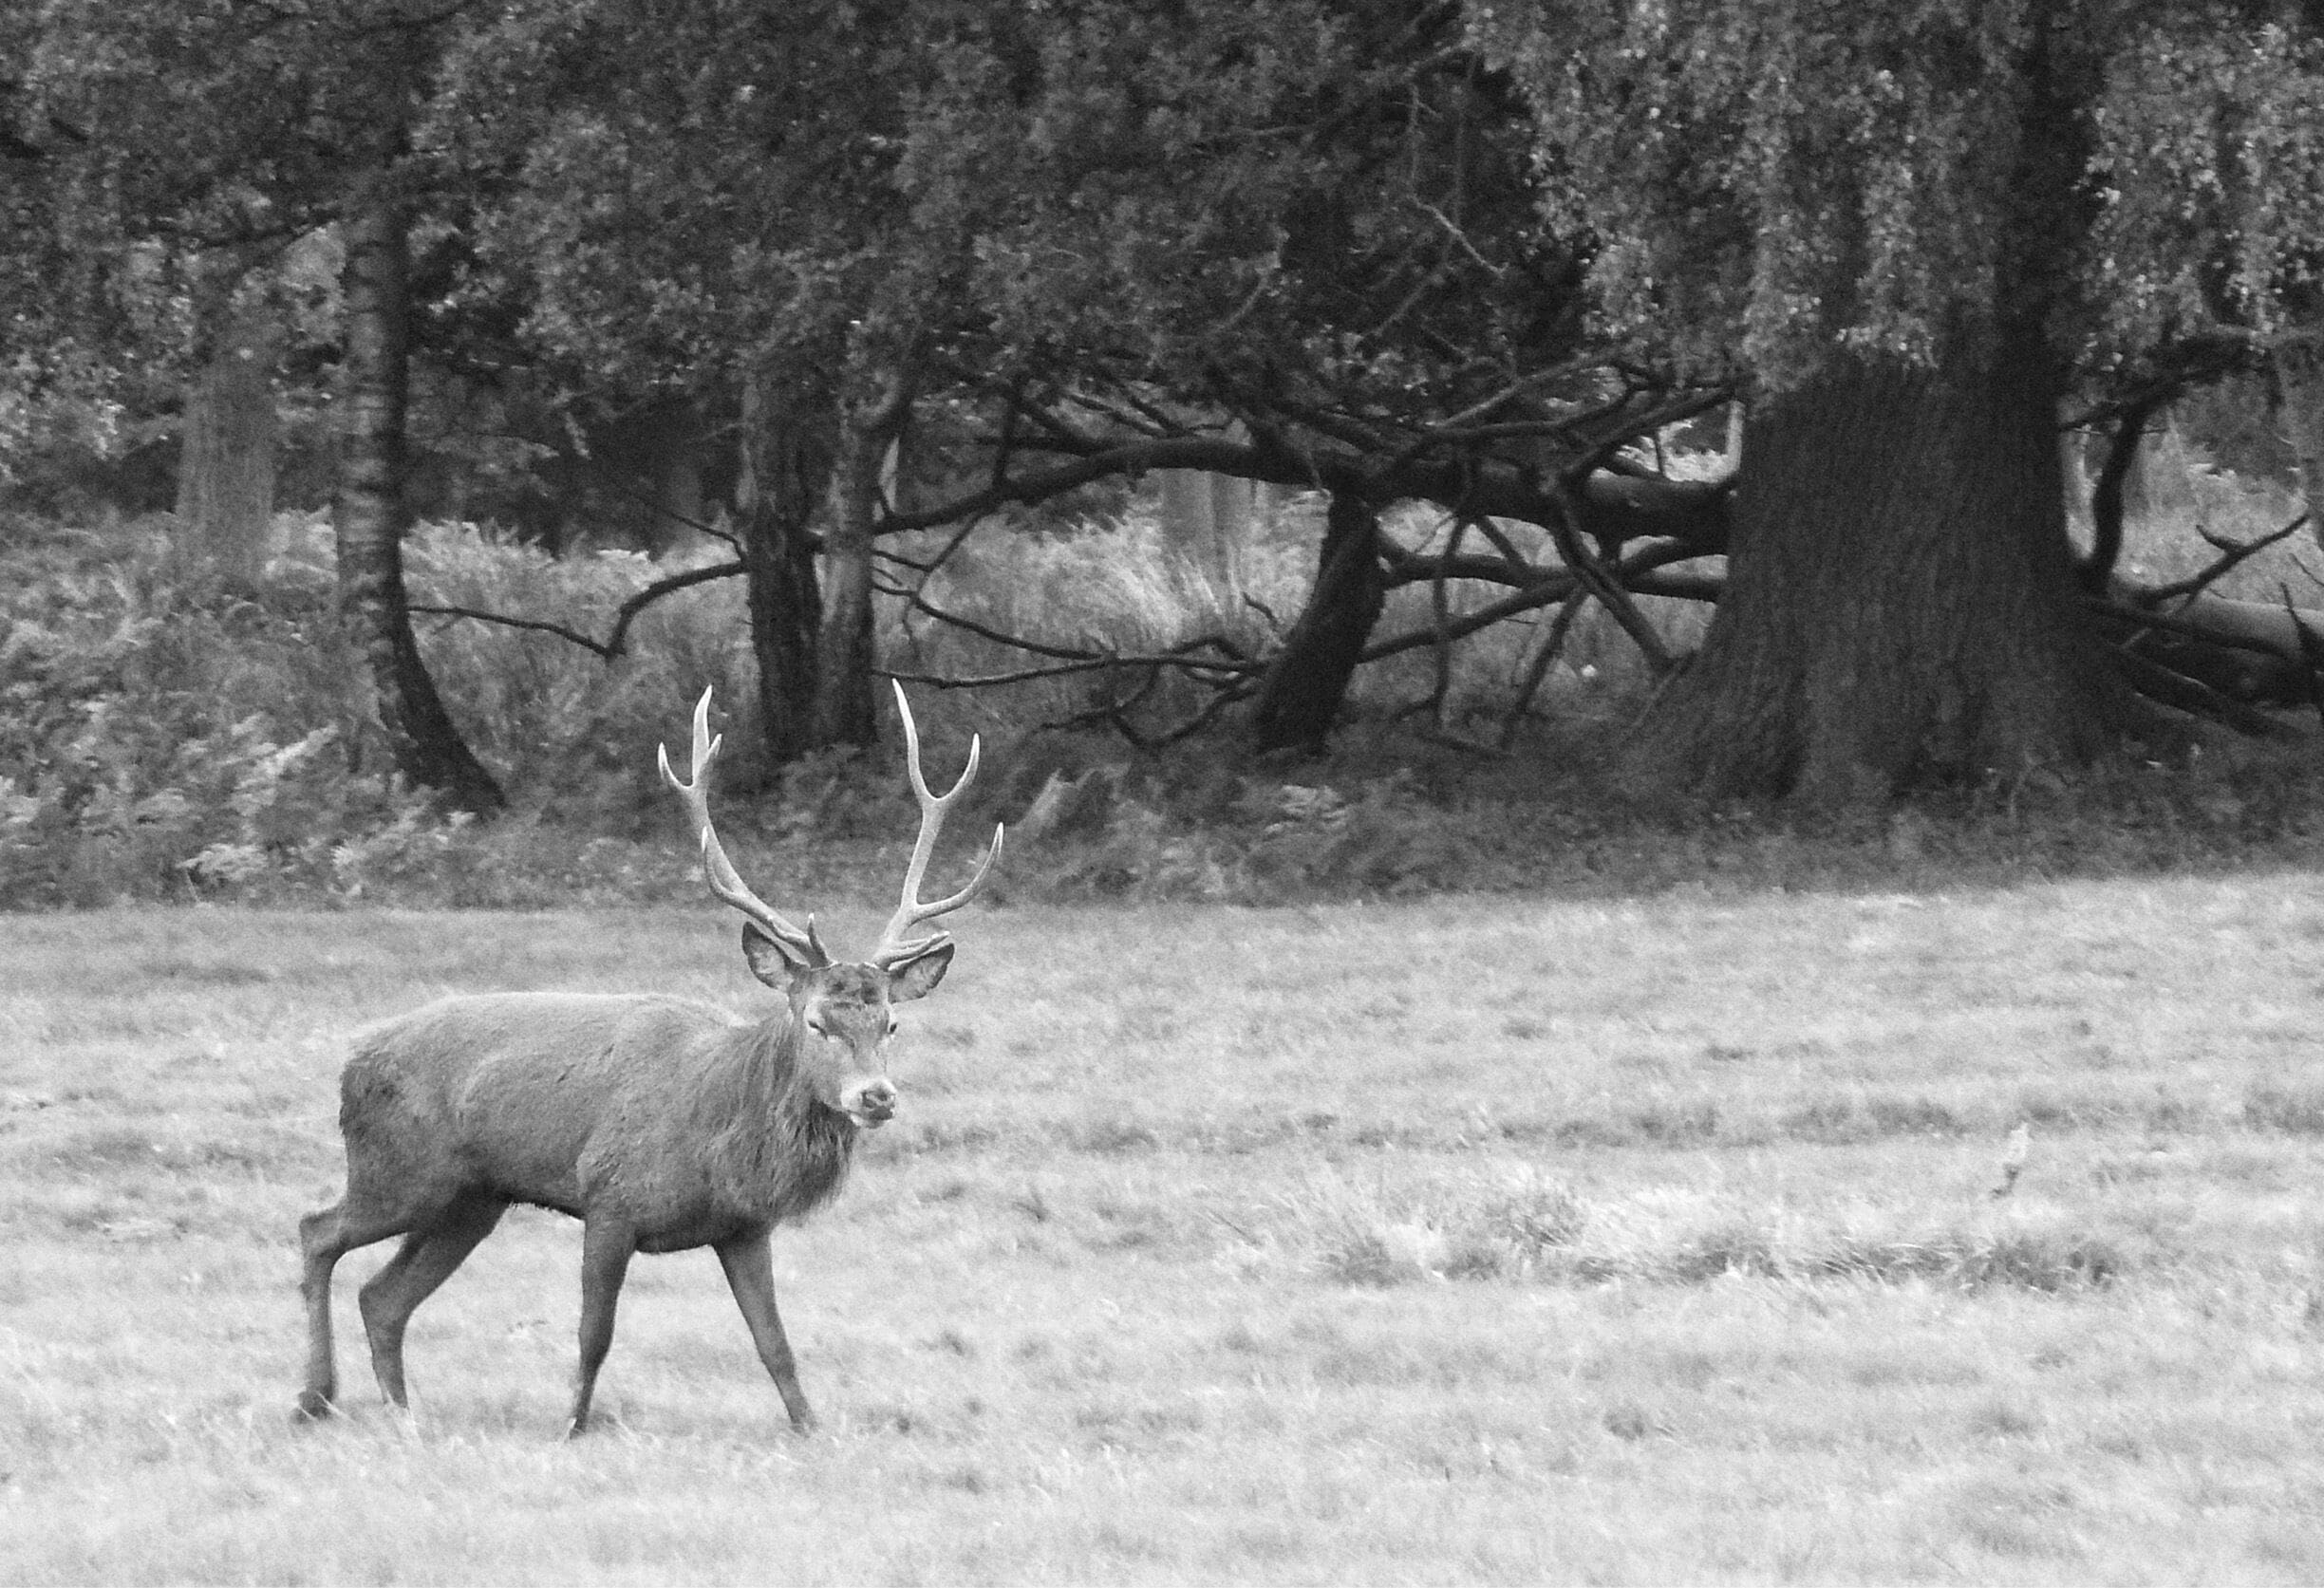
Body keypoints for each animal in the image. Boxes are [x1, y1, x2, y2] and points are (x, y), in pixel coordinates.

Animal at [294, 682, 1001, 1436]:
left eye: (891, 1021)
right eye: (814, 1021)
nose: (876, 1096)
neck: (721, 1143)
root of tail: (351, 1063)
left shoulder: (744, 1228)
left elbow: (775, 1343)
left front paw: (811, 1429)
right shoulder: (609, 1199)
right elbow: (593, 1333)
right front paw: (569, 1428)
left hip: (472, 1198)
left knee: (382, 1296)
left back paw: (402, 1414)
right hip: (399, 1171)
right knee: (317, 1232)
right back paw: (313, 1397)